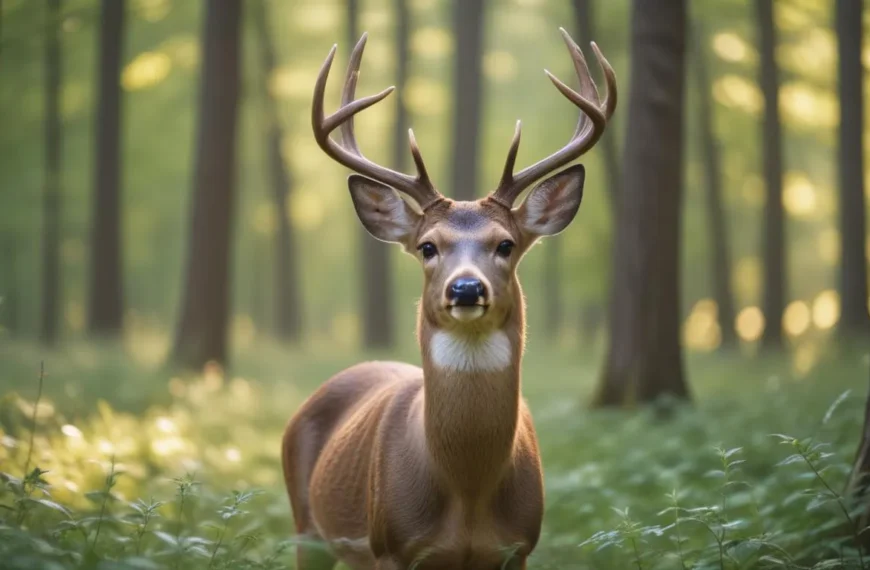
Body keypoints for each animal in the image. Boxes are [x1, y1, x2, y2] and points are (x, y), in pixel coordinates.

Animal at [282, 27, 616, 570]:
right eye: (427, 246)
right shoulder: (391, 547)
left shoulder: (519, 547)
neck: (468, 490)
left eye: (506, 244)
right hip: (306, 527)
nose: (465, 287)